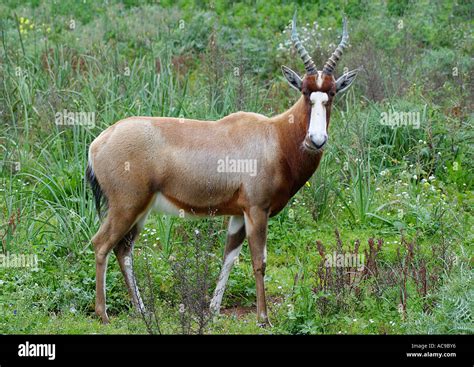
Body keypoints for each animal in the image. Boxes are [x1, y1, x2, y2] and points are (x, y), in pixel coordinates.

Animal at [86, 13, 360, 328]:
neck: (274, 136)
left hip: (140, 210)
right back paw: (103, 314)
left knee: (124, 249)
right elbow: (259, 261)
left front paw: (212, 311)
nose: (316, 140)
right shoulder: (257, 210)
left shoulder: (239, 214)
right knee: (101, 244)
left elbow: (228, 257)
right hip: (126, 207)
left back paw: (143, 312)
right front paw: (263, 318)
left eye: (331, 93)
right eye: (305, 92)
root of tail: (98, 143)